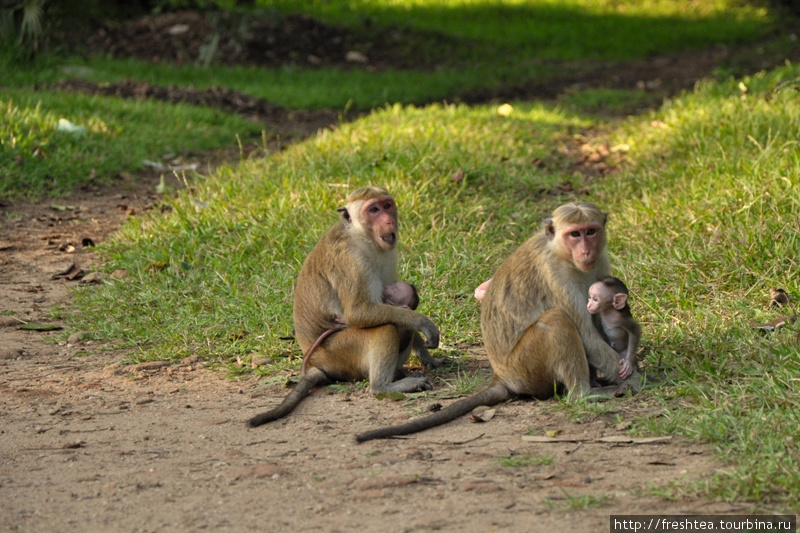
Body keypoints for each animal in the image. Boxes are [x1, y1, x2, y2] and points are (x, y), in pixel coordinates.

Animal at [247, 187, 440, 428]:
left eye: (387, 206)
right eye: (373, 210)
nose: (389, 221)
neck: (362, 237)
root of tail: (319, 363)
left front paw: (426, 355)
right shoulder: (352, 261)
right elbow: (359, 313)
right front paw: (422, 322)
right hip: (340, 351)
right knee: (386, 327)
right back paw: (382, 386)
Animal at [354, 202, 636, 442]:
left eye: (591, 231)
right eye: (574, 234)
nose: (586, 250)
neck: (563, 254)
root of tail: (503, 377)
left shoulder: (600, 263)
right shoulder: (556, 274)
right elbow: (587, 334)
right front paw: (636, 380)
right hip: (526, 367)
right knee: (557, 319)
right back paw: (584, 393)